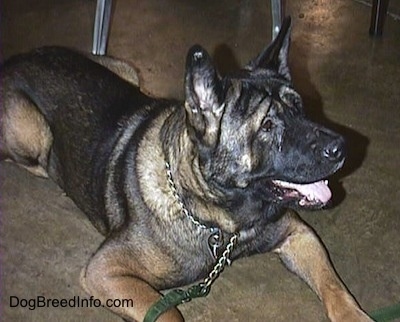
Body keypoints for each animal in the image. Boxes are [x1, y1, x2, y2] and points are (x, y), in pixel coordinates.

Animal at [1, 18, 374, 322]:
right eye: (267, 126)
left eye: (299, 106)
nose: (341, 147)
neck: (219, 219)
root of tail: (16, 59)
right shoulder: (105, 270)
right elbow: (169, 313)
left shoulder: (299, 235)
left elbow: (336, 288)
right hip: (34, 134)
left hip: (127, 72)